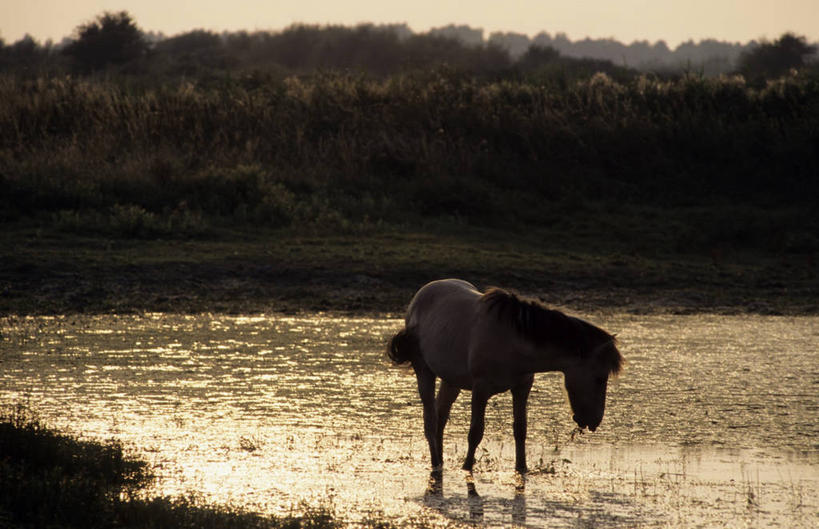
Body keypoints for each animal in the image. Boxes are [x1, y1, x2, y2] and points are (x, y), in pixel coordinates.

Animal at [388, 278, 624, 476]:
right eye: (599, 378)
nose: (594, 420)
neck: (512, 341)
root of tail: (422, 294)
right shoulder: (480, 389)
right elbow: (476, 431)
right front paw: (467, 467)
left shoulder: (522, 388)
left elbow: (520, 429)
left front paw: (522, 468)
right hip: (424, 371)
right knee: (430, 417)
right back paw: (436, 464)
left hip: (451, 380)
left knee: (441, 415)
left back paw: (441, 460)